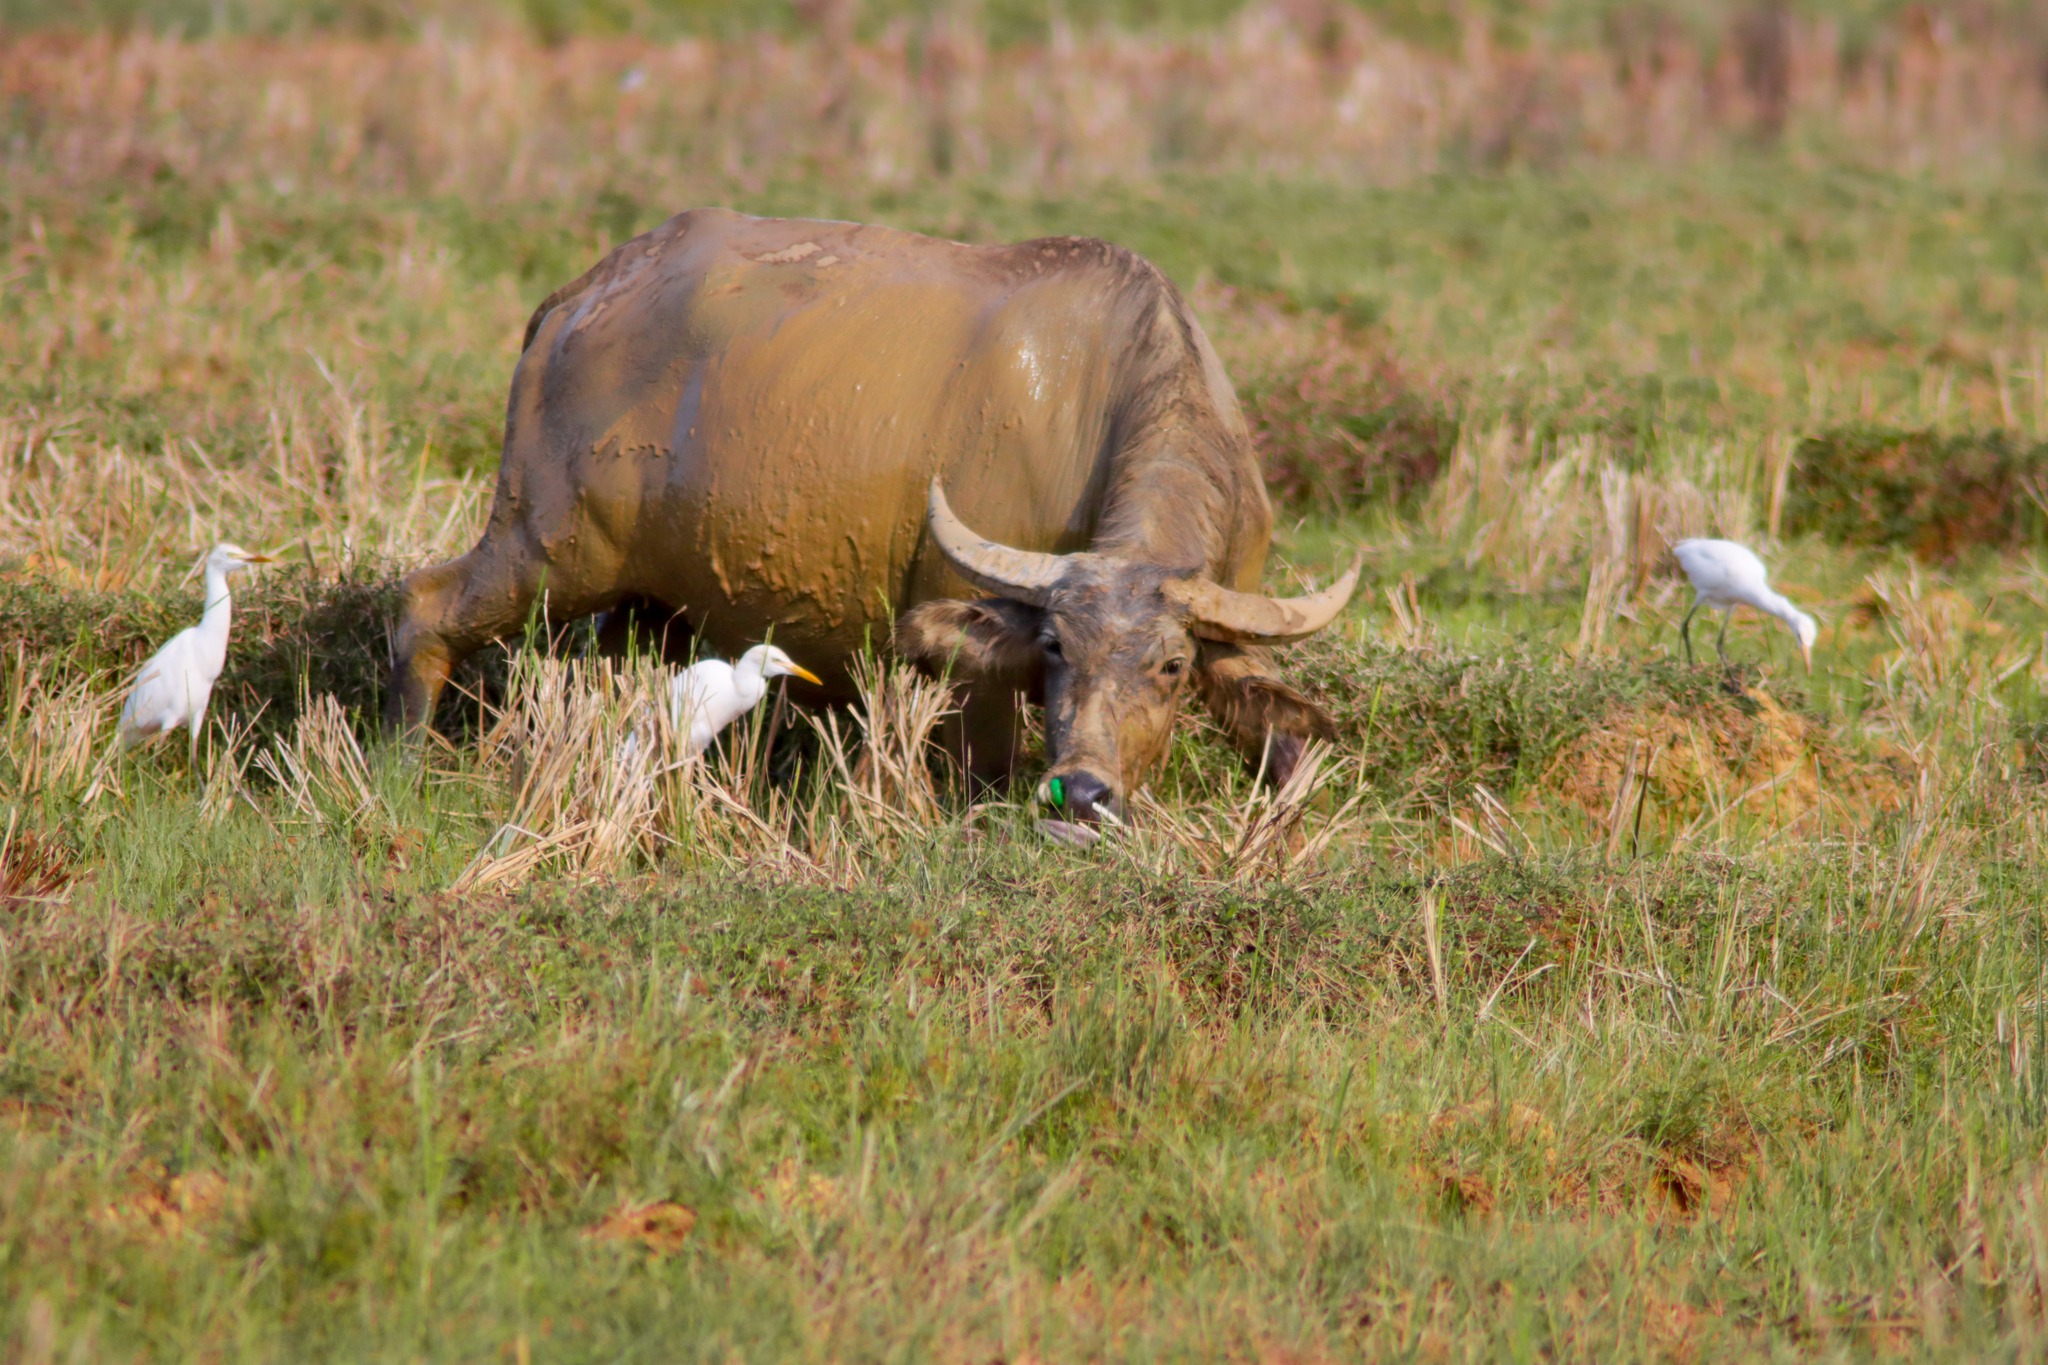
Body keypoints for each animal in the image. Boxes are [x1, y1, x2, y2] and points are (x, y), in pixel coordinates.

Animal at [395, 205, 1359, 822]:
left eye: (1170, 666)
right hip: (546, 544)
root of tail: (576, 300)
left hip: (648, 604)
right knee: (424, 609)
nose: (1082, 795)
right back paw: (405, 762)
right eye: (1055, 646)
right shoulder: (970, 666)